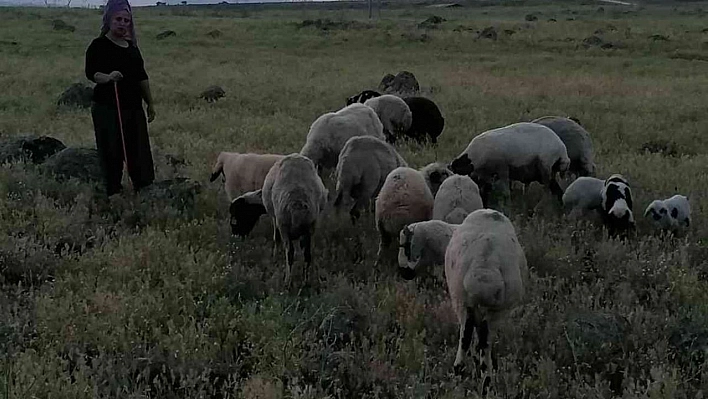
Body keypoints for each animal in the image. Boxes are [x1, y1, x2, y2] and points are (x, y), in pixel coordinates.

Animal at [262, 153, 330, 288]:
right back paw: (306, 281)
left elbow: (278, 239)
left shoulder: (279, 223)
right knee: (307, 254)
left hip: (284, 224)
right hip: (310, 226)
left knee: (290, 252)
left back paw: (288, 281)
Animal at [446, 209, 528, 382]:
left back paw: (461, 370)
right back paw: (485, 378)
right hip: (488, 311)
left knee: (467, 336)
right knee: (481, 341)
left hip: (462, 299)